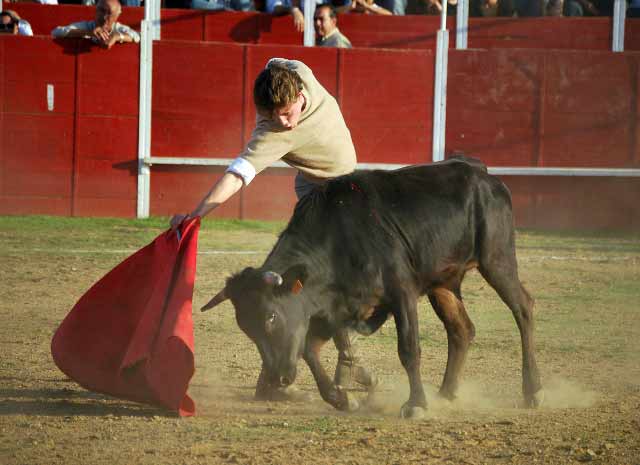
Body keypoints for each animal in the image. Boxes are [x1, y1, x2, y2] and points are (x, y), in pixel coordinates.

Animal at [202, 158, 544, 418]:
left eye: (271, 317)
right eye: (246, 328)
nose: (278, 377)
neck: (337, 241)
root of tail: (483, 175)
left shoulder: (402, 293)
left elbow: (409, 349)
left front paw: (415, 405)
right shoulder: (335, 308)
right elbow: (309, 350)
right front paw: (342, 398)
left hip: (497, 260)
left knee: (523, 309)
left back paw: (533, 391)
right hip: (443, 283)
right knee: (461, 329)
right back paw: (446, 394)